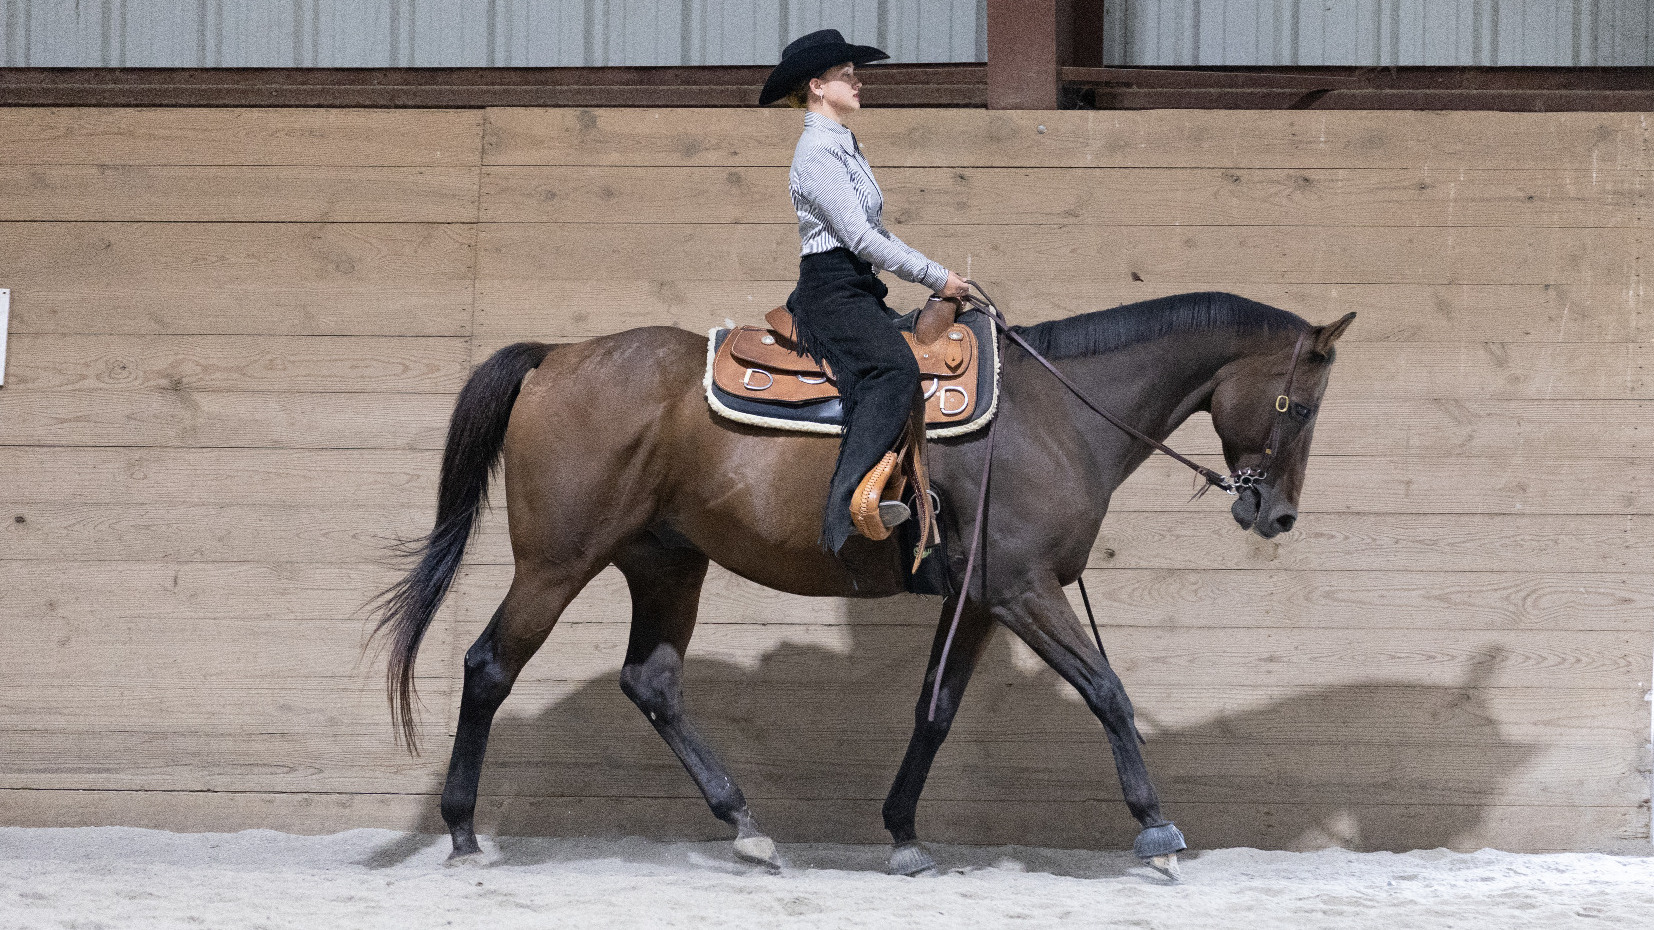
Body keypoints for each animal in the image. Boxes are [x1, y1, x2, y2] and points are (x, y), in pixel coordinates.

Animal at [371, 290, 1355, 878]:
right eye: (1301, 405)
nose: (1276, 515)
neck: (1056, 415)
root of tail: (557, 354)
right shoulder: (1025, 590)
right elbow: (1107, 690)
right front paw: (1155, 830)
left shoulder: (981, 601)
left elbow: (936, 709)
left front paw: (904, 832)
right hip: (557, 563)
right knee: (489, 666)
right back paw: (463, 831)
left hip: (666, 562)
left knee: (651, 681)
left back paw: (746, 824)